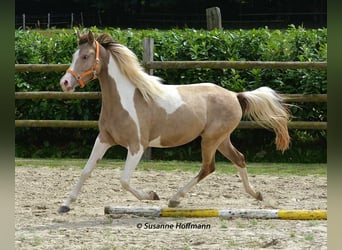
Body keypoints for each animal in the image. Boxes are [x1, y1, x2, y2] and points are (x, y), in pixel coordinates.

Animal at [57, 30, 290, 213]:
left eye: (85, 56)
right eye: (74, 55)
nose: (65, 83)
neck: (124, 100)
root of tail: (235, 95)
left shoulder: (137, 146)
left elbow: (123, 181)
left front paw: (152, 195)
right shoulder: (104, 139)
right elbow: (86, 171)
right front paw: (65, 205)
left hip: (210, 140)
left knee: (208, 167)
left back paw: (174, 199)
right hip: (221, 139)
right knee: (239, 159)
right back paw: (257, 194)